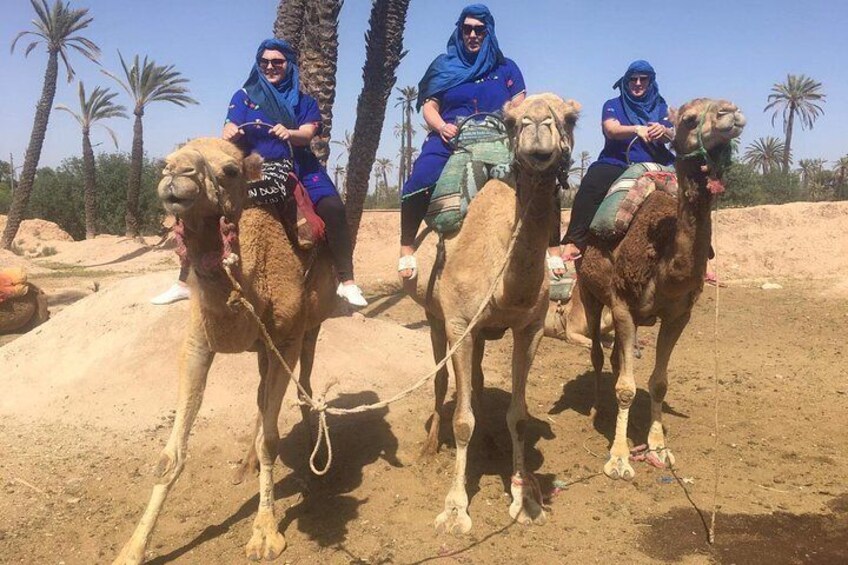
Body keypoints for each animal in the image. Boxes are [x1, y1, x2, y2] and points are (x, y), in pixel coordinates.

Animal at [113, 138, 338, 564]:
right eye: (166, 161)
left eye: (230, 170)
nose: (176, 174)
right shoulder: (198, 343)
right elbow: (170, 457)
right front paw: (132, 549)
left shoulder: (286, 338)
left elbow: (271, 440)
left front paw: (265, 533)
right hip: (264, 350)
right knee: (262, 397)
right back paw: (245, 467)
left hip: (311, 326)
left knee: (303, 384)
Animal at [406, 93, 580, 532]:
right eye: (514, 120)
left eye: (570, 117)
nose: (537, 126)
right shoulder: (459, 324)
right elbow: (461, 420)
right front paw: (455, 509)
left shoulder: (530, 328)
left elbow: (517, 415)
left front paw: (525, 499)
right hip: (436, 318)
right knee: (442, 381)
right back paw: (430, 446)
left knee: (479, 382)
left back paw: (488, 442)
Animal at [580, 99, 744, 478]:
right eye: (690, 119)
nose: (731, 112)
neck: (665, 262)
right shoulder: (622, 305)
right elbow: (626, 388)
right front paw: (619, 458)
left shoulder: (678, 315)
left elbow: (658, 382)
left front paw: (658, 448)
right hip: (589, 292)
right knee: (596, 353)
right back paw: (596, 408)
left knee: (615, 357)